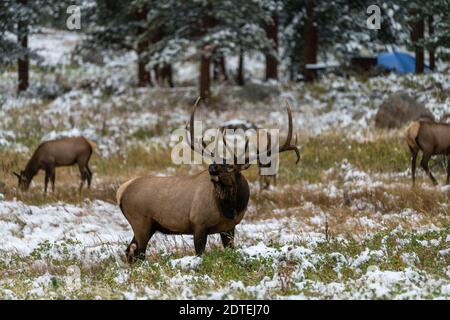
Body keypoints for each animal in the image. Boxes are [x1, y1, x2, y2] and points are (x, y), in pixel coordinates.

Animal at [116, 98, 300, 262]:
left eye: (231, 167)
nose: (212, 168)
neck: (229, 208)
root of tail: (121, 191)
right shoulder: (198, 223)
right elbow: (200, 253)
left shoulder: (229, 227)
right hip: (141, 221)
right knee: (137, 253)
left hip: (148, 226)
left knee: (129, 251)